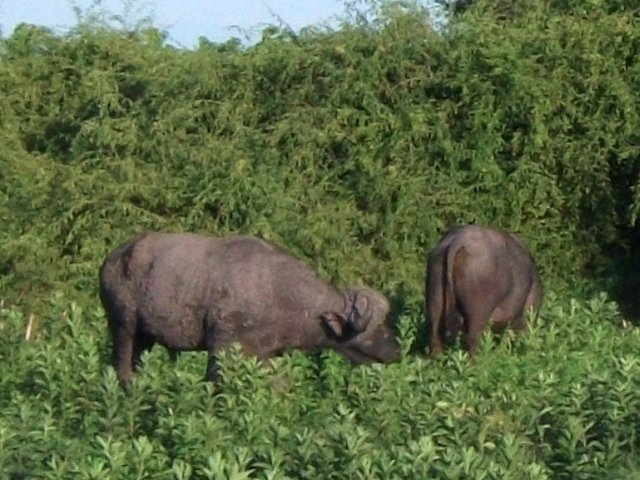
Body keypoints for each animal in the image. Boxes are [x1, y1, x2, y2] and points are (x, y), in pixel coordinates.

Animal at [99, 232, 400, 386]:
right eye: (374, 329)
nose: (396, 352)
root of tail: (113, 259)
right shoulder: (222, 348)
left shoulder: (267, 355)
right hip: (124, 326)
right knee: (121, 366)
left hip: (145, 338)